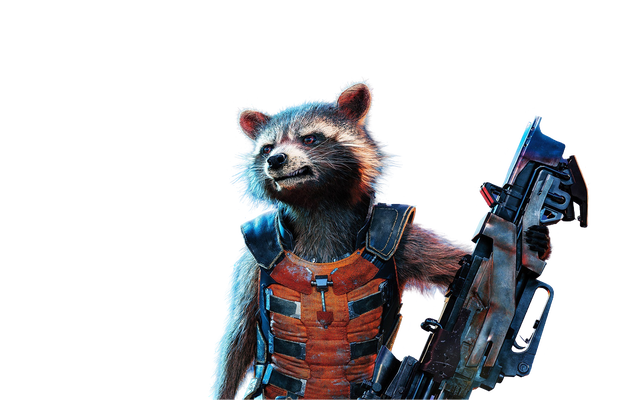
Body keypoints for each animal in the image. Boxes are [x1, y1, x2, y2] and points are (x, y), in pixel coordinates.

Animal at [207, 82, 472, 400]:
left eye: (309, 138)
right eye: (267, 148)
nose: (275, 160)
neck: (317, 203)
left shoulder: (402, 238)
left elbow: (462, 262)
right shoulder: (254, 252)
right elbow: (238, 335)